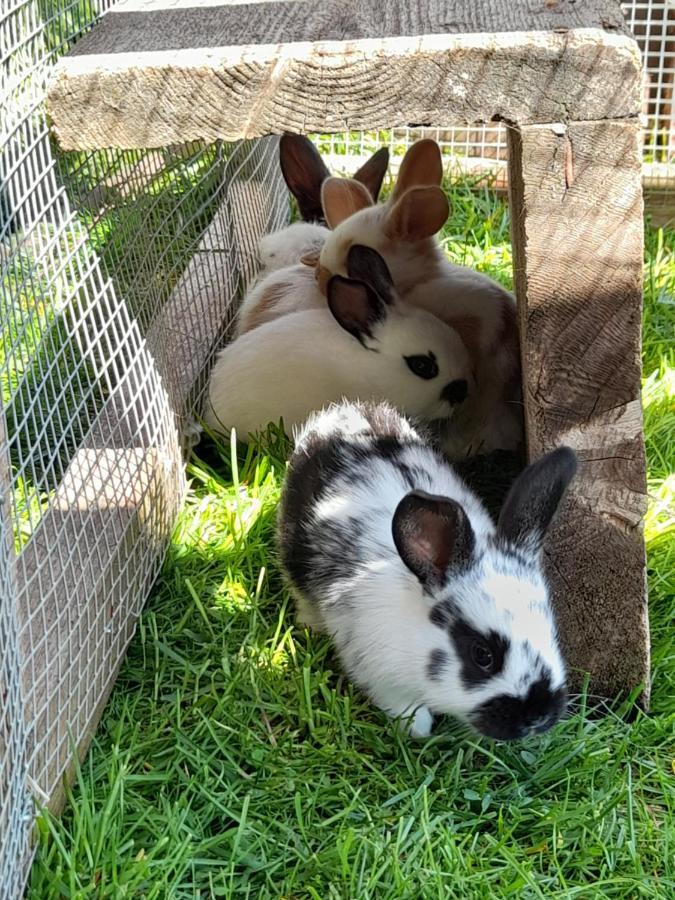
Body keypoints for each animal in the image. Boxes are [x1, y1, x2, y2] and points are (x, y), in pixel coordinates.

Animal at [278, 400, 580, 740]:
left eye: (551, 633)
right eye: (482, 655)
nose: (539, 717)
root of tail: (343, 414)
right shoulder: (379, 674)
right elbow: (406, 710)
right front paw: (418, 728)